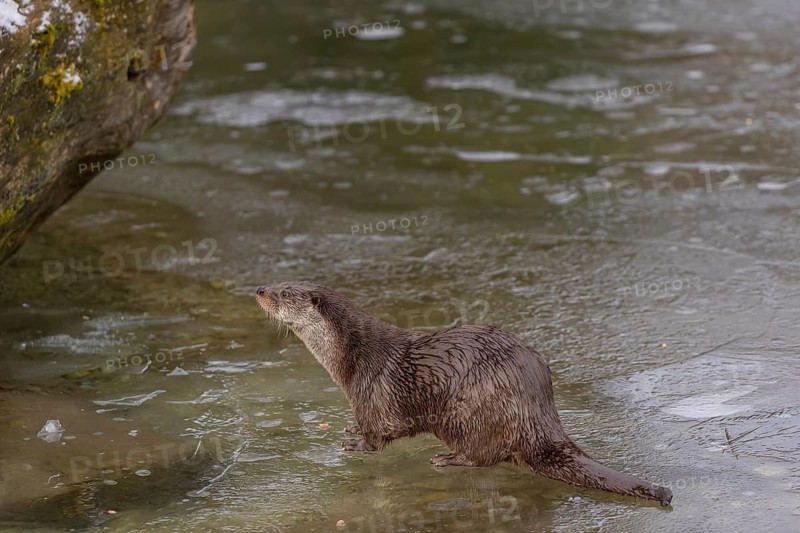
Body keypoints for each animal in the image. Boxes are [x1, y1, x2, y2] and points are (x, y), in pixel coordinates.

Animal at [255, 281, 673, 506]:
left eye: (285, 292)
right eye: (278, 281)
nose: (260, 289)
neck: (352, 357)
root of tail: (539, 413)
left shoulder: (373, 391)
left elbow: (381, 432)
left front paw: (358, 445)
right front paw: (351, 429)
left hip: (466, 411)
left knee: (482, 455)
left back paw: (448, 459)